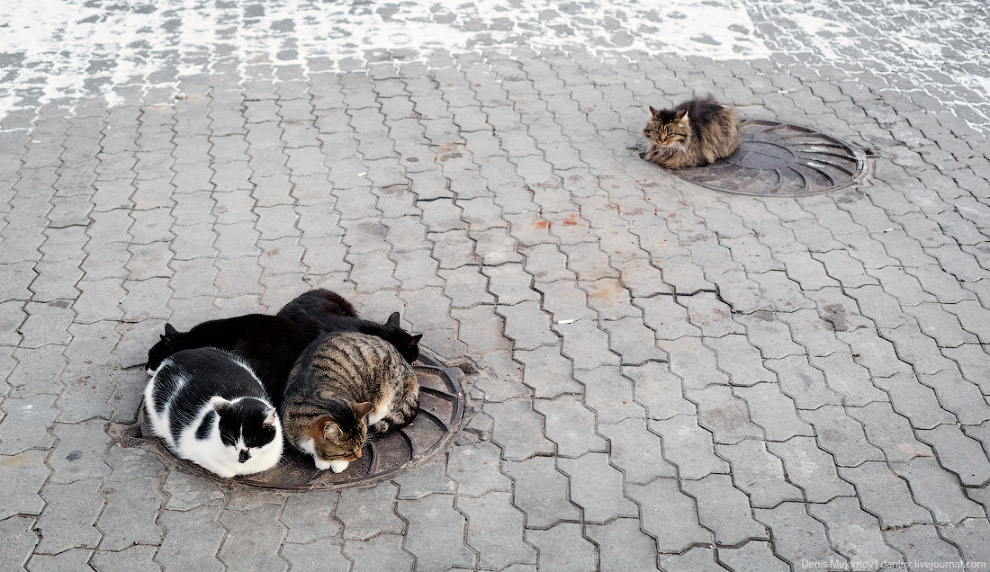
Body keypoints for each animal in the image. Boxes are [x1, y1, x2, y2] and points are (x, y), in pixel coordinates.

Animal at [143, 348, 284, 478]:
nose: (241, 459)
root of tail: (168, 360)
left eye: (252, 444)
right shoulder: (194, 447)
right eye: (232, 443)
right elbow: (226, 471)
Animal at [280, 330, 420, 474]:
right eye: (347, 452)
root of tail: (407, 366)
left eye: (361, 444)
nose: (359, 456)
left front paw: (337, 464)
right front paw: (321, 461)